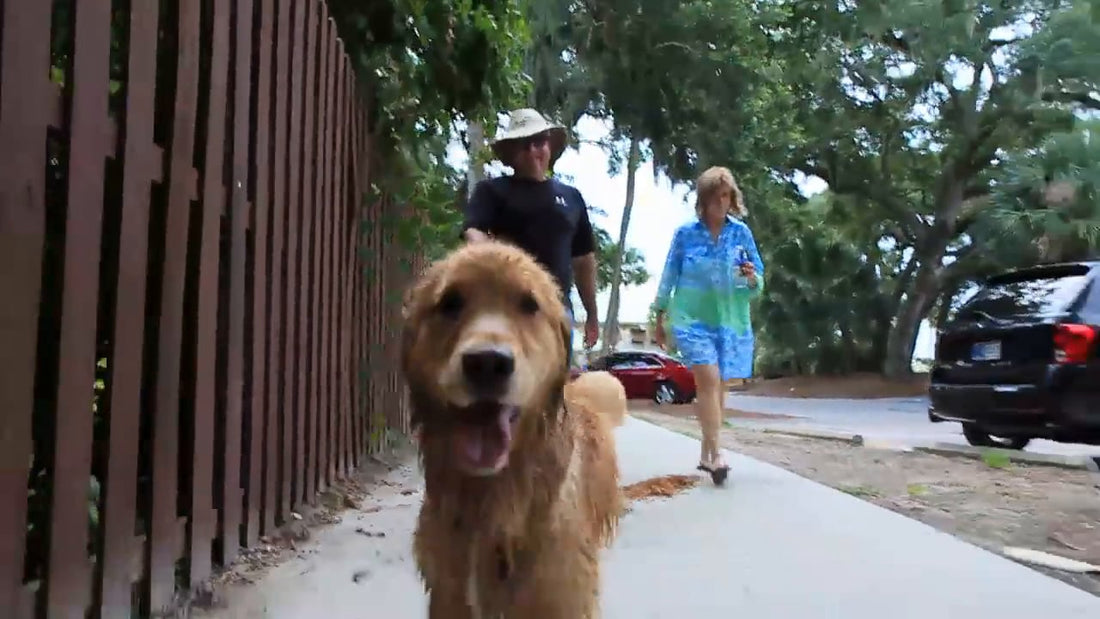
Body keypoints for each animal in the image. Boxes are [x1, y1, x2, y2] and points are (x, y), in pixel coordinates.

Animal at [402, 240, 629, 619]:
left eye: (529, 304)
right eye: (450, 302)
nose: (487, 363)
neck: (494, 498)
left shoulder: (560, 595)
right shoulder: (448, 593)